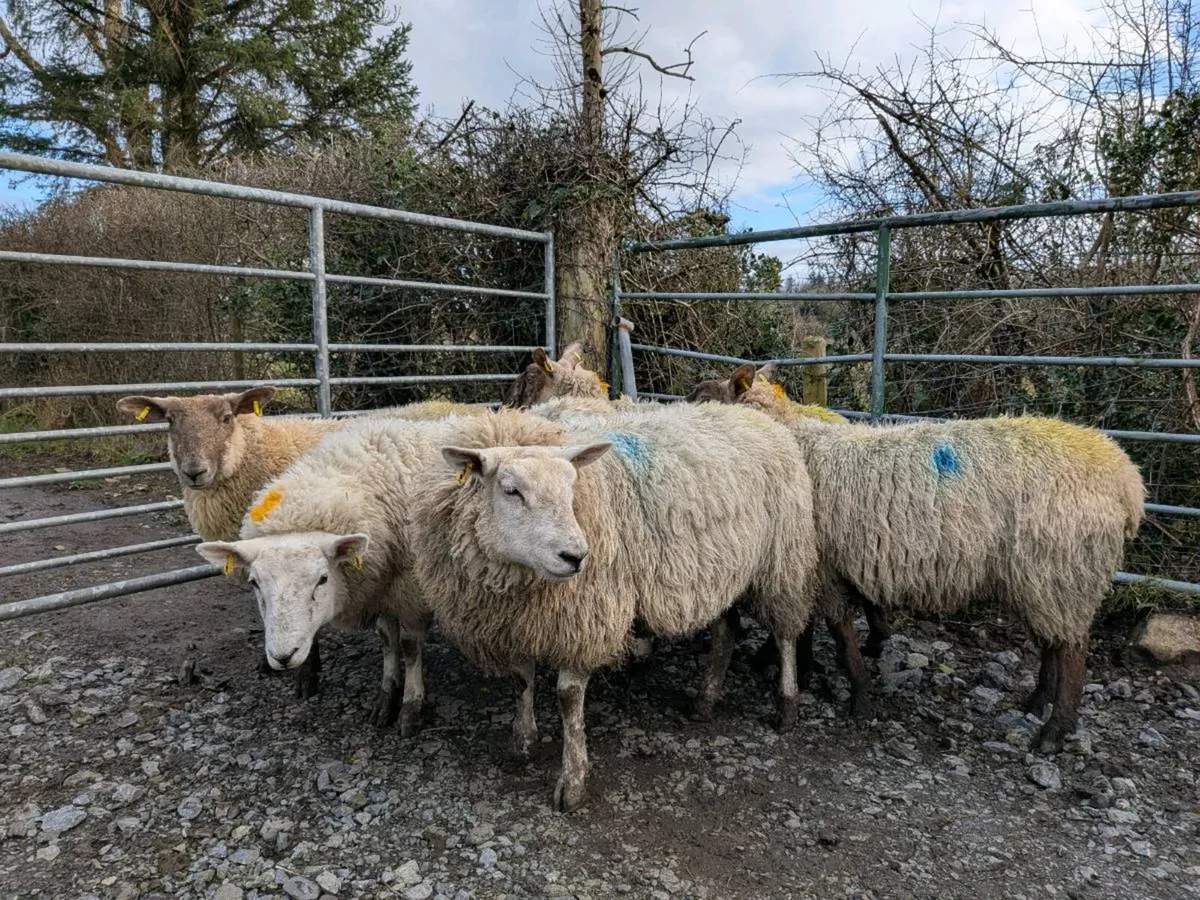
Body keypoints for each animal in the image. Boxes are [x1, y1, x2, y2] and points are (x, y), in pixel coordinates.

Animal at [194, 414, 475, 736]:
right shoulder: (380, 586)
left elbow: (409, 647)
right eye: (254, 583)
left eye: (322, 579)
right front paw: (386, 698)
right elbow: (387, 642)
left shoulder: (410, 591)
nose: (282, 657)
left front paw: (411, 707)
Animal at [407, 403, 819, 811]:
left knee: (785, 634)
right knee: (726, 629)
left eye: (571, 486)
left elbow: (568, 699)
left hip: (783, 558)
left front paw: (572, 782)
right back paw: (705, 700)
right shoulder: (518, 622)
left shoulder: (587, 615)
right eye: (511, 491)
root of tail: (749, 413)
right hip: (718, 570)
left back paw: (786, 706)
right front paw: (522, 744)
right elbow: (521, 681)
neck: (518, 577)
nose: (575, 556)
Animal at [694, 365, 1145, 752]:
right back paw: (1036, 703)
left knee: (1073, 653)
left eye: (702, 399)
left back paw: (1053, 731)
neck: (795, 438)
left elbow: (839, 635)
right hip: (1042, 578)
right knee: (1055, 642)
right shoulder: (814, 568)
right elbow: (813, 631)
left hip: (1061, 568)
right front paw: (805, 673)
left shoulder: (818, 567)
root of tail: (1127, 479)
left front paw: (858, 698)